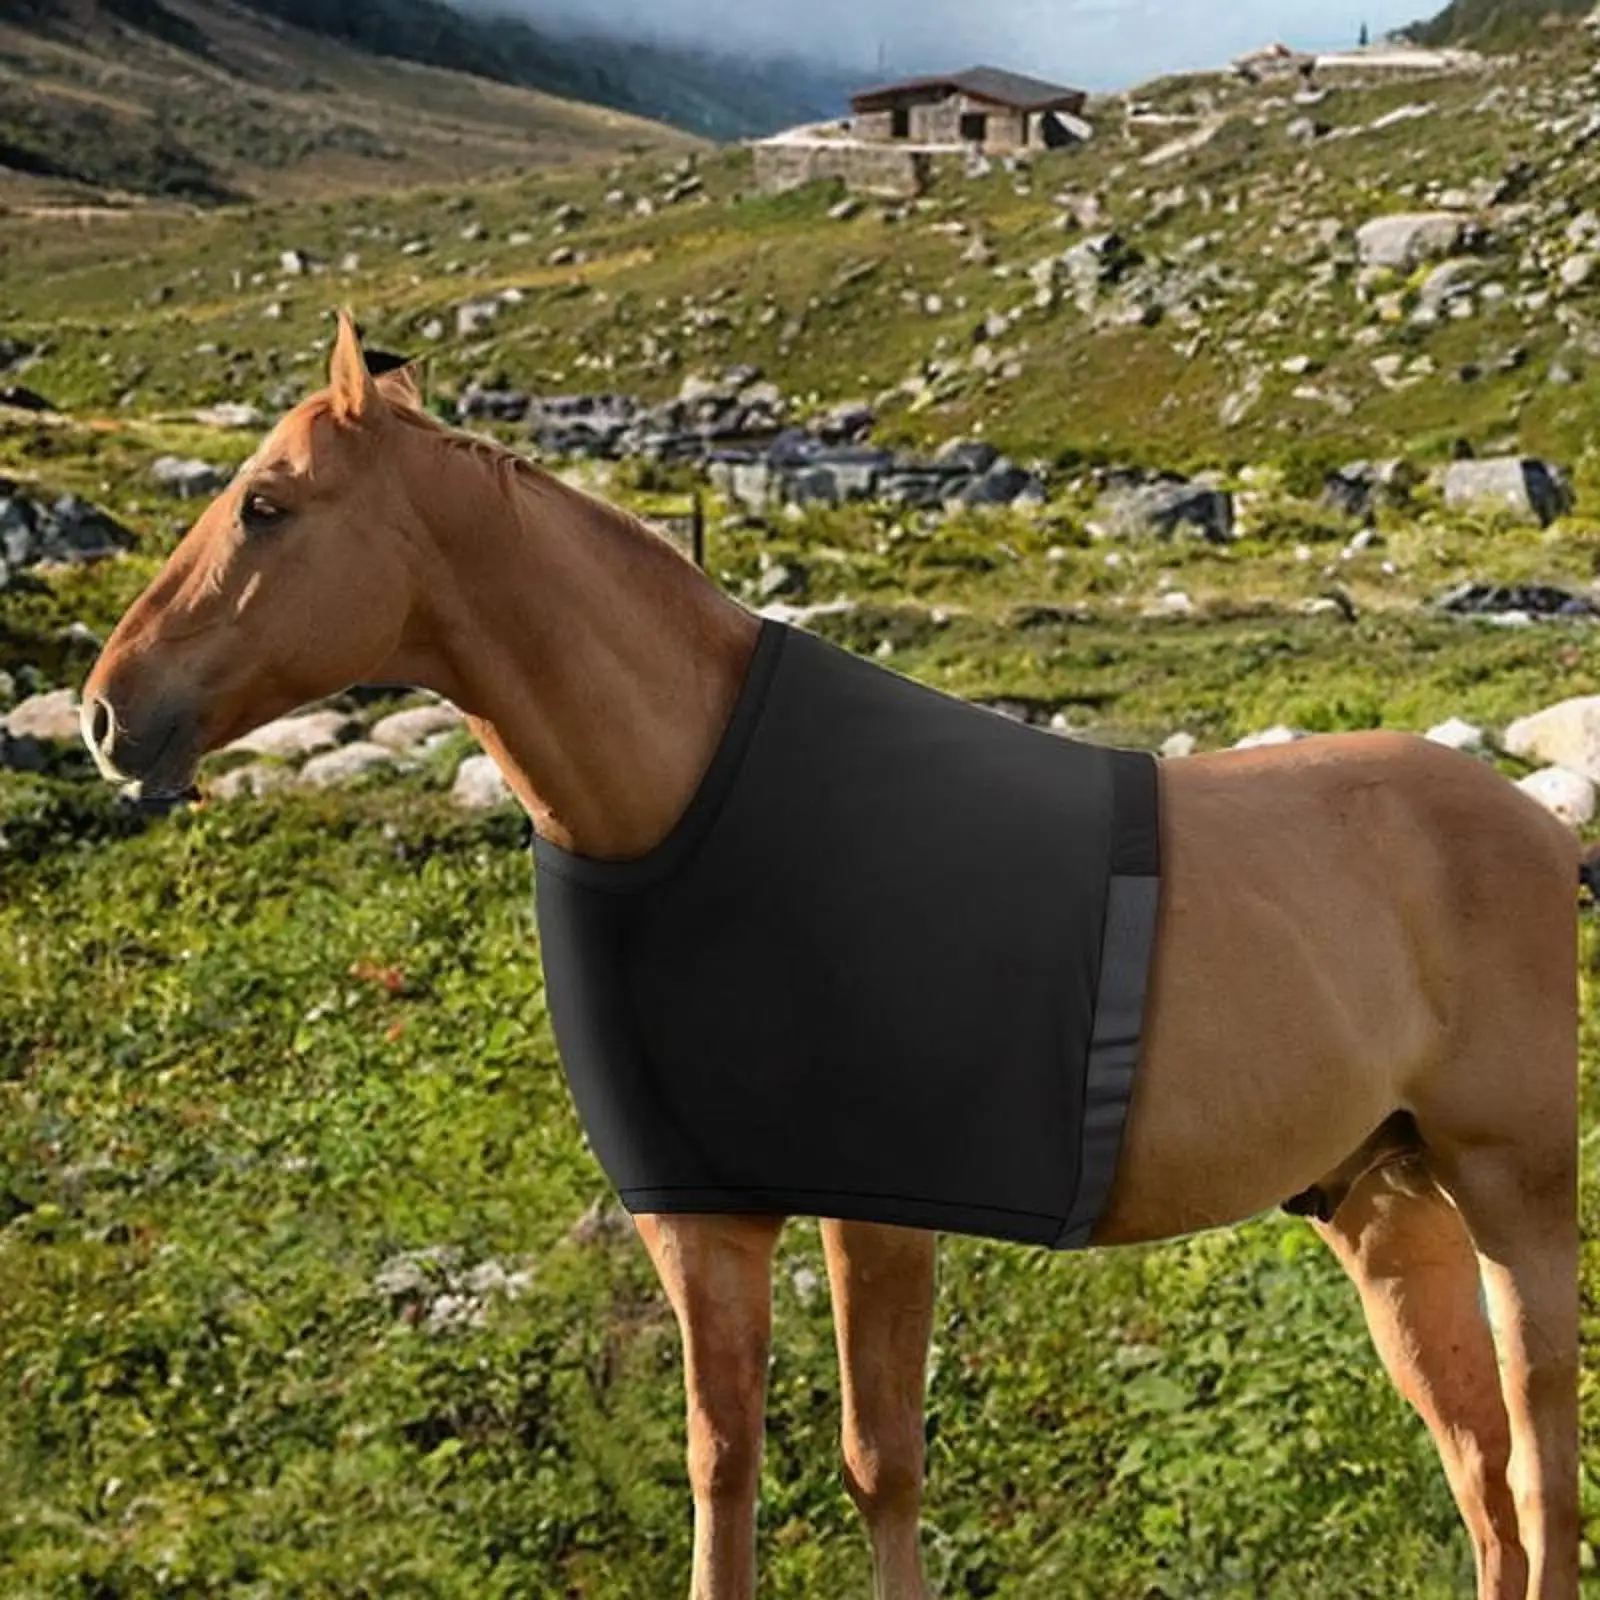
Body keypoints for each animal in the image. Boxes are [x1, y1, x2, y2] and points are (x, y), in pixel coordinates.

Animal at [81, 312, 1579, 1600]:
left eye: (265, 505)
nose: (106, 714)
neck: (693, 803)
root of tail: (1533, 826)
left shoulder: (879, 1212)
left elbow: (880, 1464)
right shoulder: (702, 1217)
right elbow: (721, 1465)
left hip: (1514, 1197)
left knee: (1541, 1459)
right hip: (1384, 1207)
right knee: (1482, 1477)